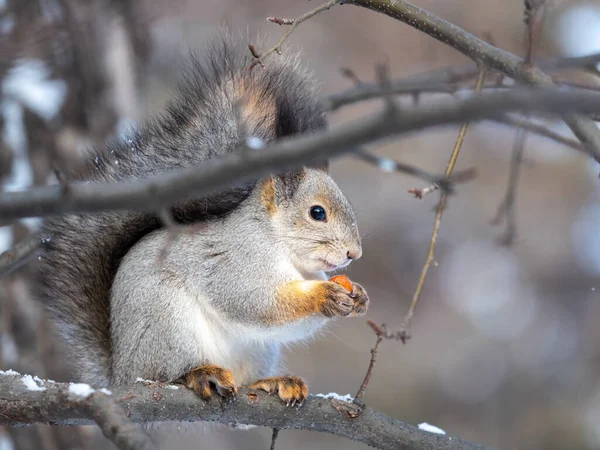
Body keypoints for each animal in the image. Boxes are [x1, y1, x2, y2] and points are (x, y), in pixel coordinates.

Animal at [37, 37, 370, 406]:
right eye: (317, 213)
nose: (354, 254)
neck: (283, 249)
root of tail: (121, 373)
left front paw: (358, 296)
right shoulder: (237, 263)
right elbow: (253, 301)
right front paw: (322, 296)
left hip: (257, 349)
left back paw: (272, 382)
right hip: (167, 323)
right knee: (168, 373)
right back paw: (200, 375)